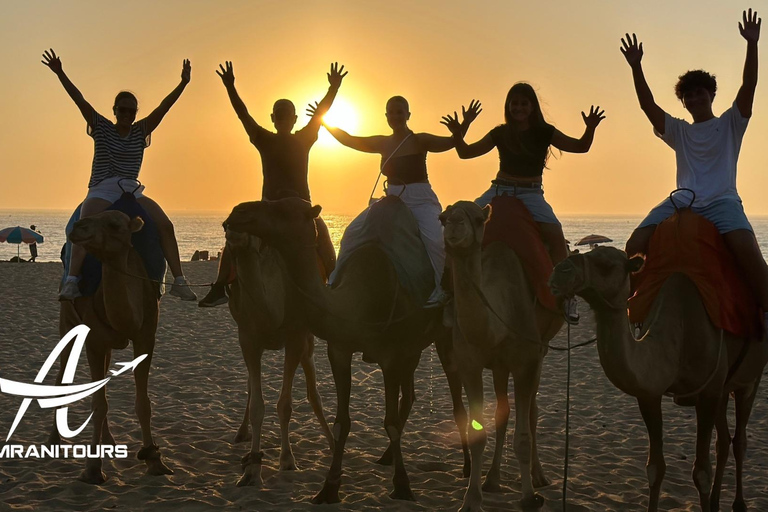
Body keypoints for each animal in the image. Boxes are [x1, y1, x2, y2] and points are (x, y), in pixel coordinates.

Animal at [54, 211, 172, 484]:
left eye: (115, 225)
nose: (79, 227)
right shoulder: (94, 342)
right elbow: (98, 404)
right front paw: (92, 469)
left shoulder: (145, 338)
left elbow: (143, 402)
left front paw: (153, 459)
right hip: (67, 321)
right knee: (62, 374)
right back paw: (53, 440)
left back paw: (107, 440)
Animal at [219, 228, 332, 488]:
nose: (232, 231)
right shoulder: (248, 338)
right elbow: (257, 404)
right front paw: (251, 469)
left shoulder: (296, 336)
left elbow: (286, 405)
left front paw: (288, 460)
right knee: (250, 387)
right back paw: (241, 433)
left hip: (308, 335)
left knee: (313, 387)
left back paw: (333, 443)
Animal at [438, 202, 564, 510]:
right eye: (443, 217)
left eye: (478, 219)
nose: (455, 225)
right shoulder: (469, 365)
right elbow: (477, 432)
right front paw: (471, 498)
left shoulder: (526, 362)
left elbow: (523, 436)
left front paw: (529, 497)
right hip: (498, 366)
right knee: (503, 411)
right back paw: (492, 479)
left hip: (540, 349)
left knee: (531, 411)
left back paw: (538, 477)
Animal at [552, 246, 768, 510]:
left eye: (606, 264)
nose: (559, 271)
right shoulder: (650, 393)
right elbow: (655, 468)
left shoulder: (708, 393)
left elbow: (701, 473)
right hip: (724, 388)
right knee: (723, 442)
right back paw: (716, 502)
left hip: (750, 380)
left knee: (739, 441)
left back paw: (738, 504)